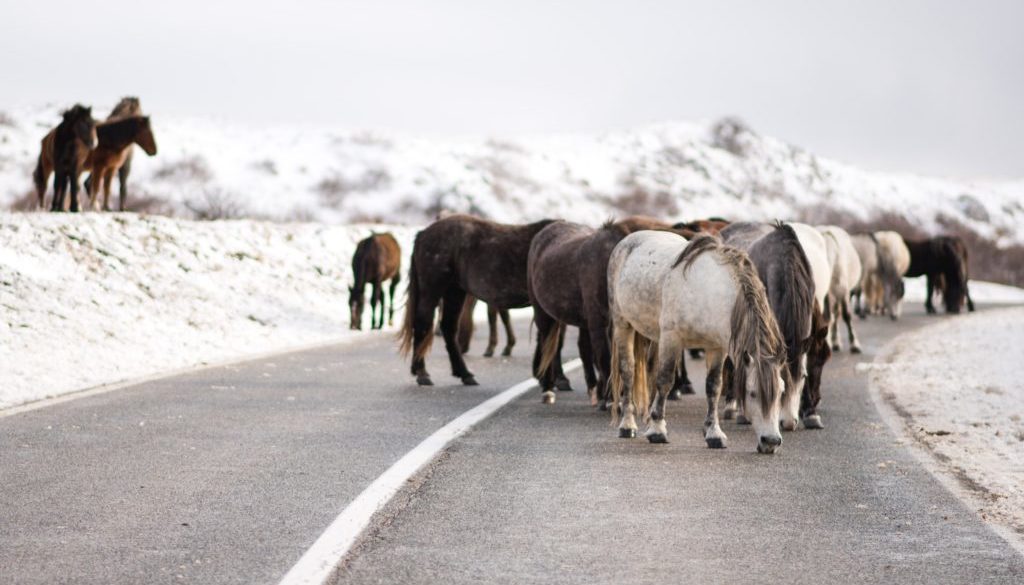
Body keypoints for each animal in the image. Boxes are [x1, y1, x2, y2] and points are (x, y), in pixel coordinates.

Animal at [606, 231, 782, 454]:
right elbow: (665, 380)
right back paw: (628, 425)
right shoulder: (671, 338)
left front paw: (713, 433)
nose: (771, 441)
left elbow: (714, 387)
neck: (708, 292)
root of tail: (626, 241)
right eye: (752, 393)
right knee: (628, 370)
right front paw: (657, 431)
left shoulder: (716, 348)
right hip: (623, 325)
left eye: (781, 392)